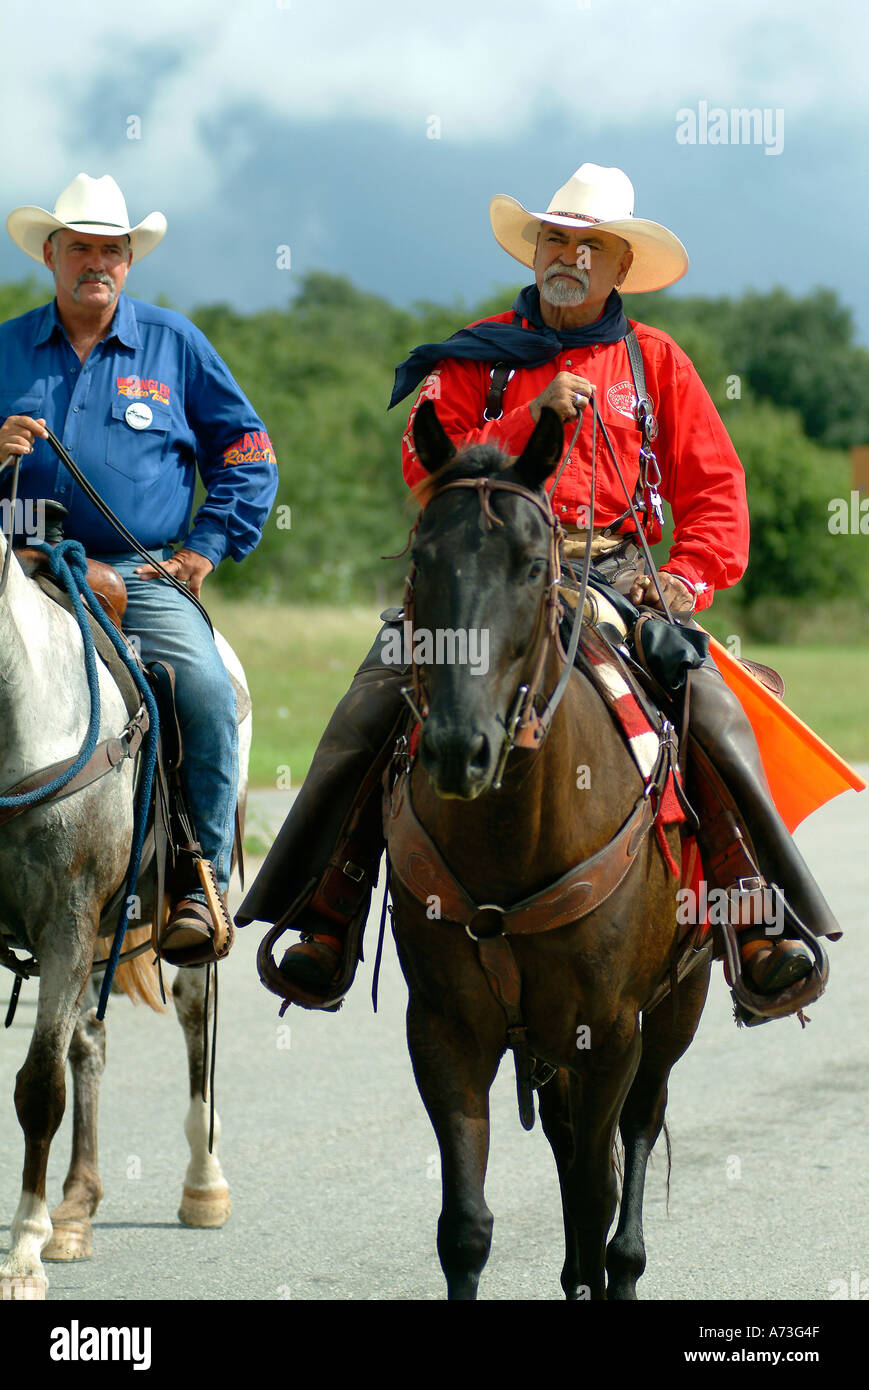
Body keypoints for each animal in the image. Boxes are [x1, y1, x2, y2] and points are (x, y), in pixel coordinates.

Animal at [0, 521, 250, 1300]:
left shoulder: (67, 921)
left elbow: (38, 1088)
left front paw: (20, 1256)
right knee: (90, 1042)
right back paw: (75, 1208)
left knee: (196, 1015)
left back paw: (203, 1184)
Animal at [384, 400, 711, 1300]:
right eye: (422, 560)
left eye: (532, 566)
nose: (459, 748)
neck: (517, 836)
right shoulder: (445, 1031)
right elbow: (465, 1227)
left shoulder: (613, 1032)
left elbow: (599, 1191)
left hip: (677, 1006)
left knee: (634, 1138)